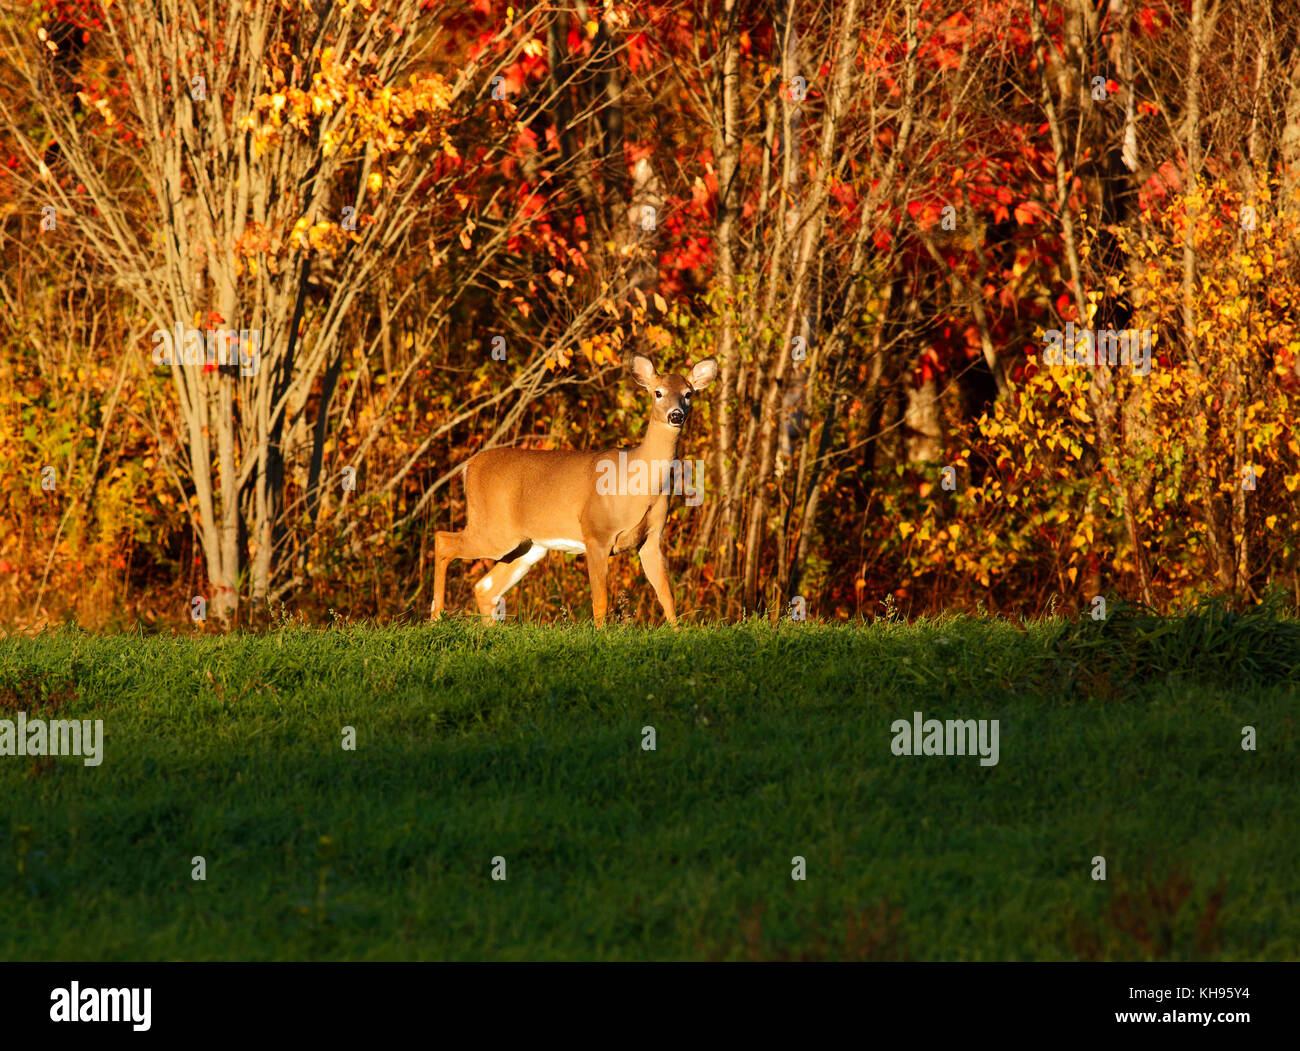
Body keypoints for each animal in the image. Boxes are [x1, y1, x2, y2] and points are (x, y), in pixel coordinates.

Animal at [428, 356, 717, 626]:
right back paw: (435, 617)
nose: (676, 415)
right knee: (443, 541)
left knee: (484, 587)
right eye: (658, 392)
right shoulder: (596, 532)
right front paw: (602, 635)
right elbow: (600, 601)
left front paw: (678, 632)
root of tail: (469, 466)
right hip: (493, 528)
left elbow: (666, 595)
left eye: (688, 393)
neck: (639, 485)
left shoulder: (651, 537)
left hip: (527, 545)